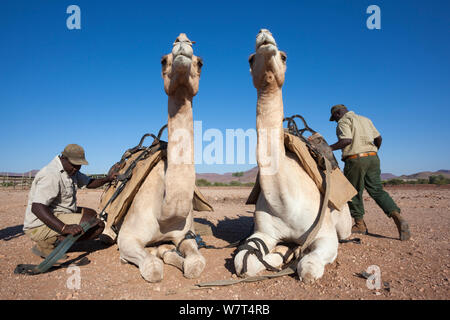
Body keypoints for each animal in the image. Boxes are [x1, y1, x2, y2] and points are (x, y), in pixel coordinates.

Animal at [117, 33, 207, 282]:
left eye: (200, 63)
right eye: (162, 60)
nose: (182, 41)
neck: (163, 214)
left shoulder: (185, 234)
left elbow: (196, 263)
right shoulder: (127, 237)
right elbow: (153, 268)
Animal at [234, 28, 354, 282]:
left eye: (284, 56)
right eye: (250, 58)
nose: (264, 35)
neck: (285, 202)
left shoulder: (324, 234)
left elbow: (308, 267)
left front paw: (291, 256)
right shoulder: (263, 232)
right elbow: (245, 261)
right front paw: (280, 252)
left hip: (344, 225)